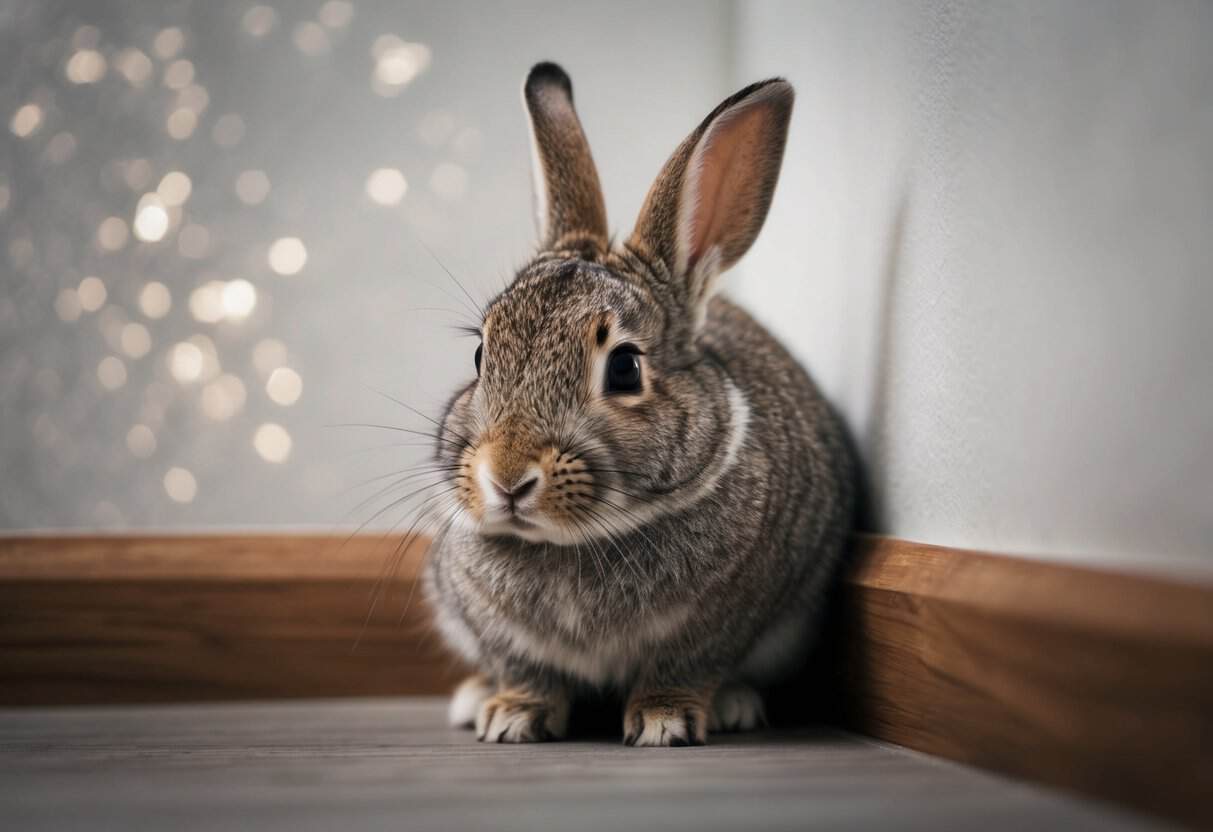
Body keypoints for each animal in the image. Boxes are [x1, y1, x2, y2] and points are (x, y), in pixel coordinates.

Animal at [423, 62, 856, 747]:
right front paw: (511, 716)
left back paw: (735, 706)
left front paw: (663, 721)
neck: (570, 542)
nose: (508, 478)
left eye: (625, 368)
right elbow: (523, 668)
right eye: (480, 355)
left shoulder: (723, 620)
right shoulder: (493, 628)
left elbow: (686, 665)